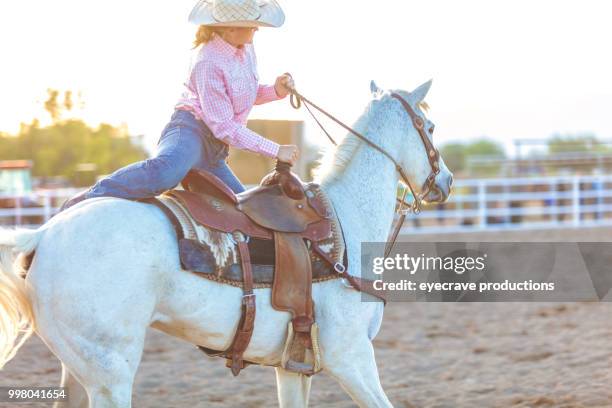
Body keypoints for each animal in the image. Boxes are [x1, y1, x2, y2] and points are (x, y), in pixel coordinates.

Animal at [0, 79, 450, 404]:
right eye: (429, 127)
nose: (445, 182)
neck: (343, 220)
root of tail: (42, 235)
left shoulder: (292, 366)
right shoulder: (351, 357)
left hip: (79, 370)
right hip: (110, 373)